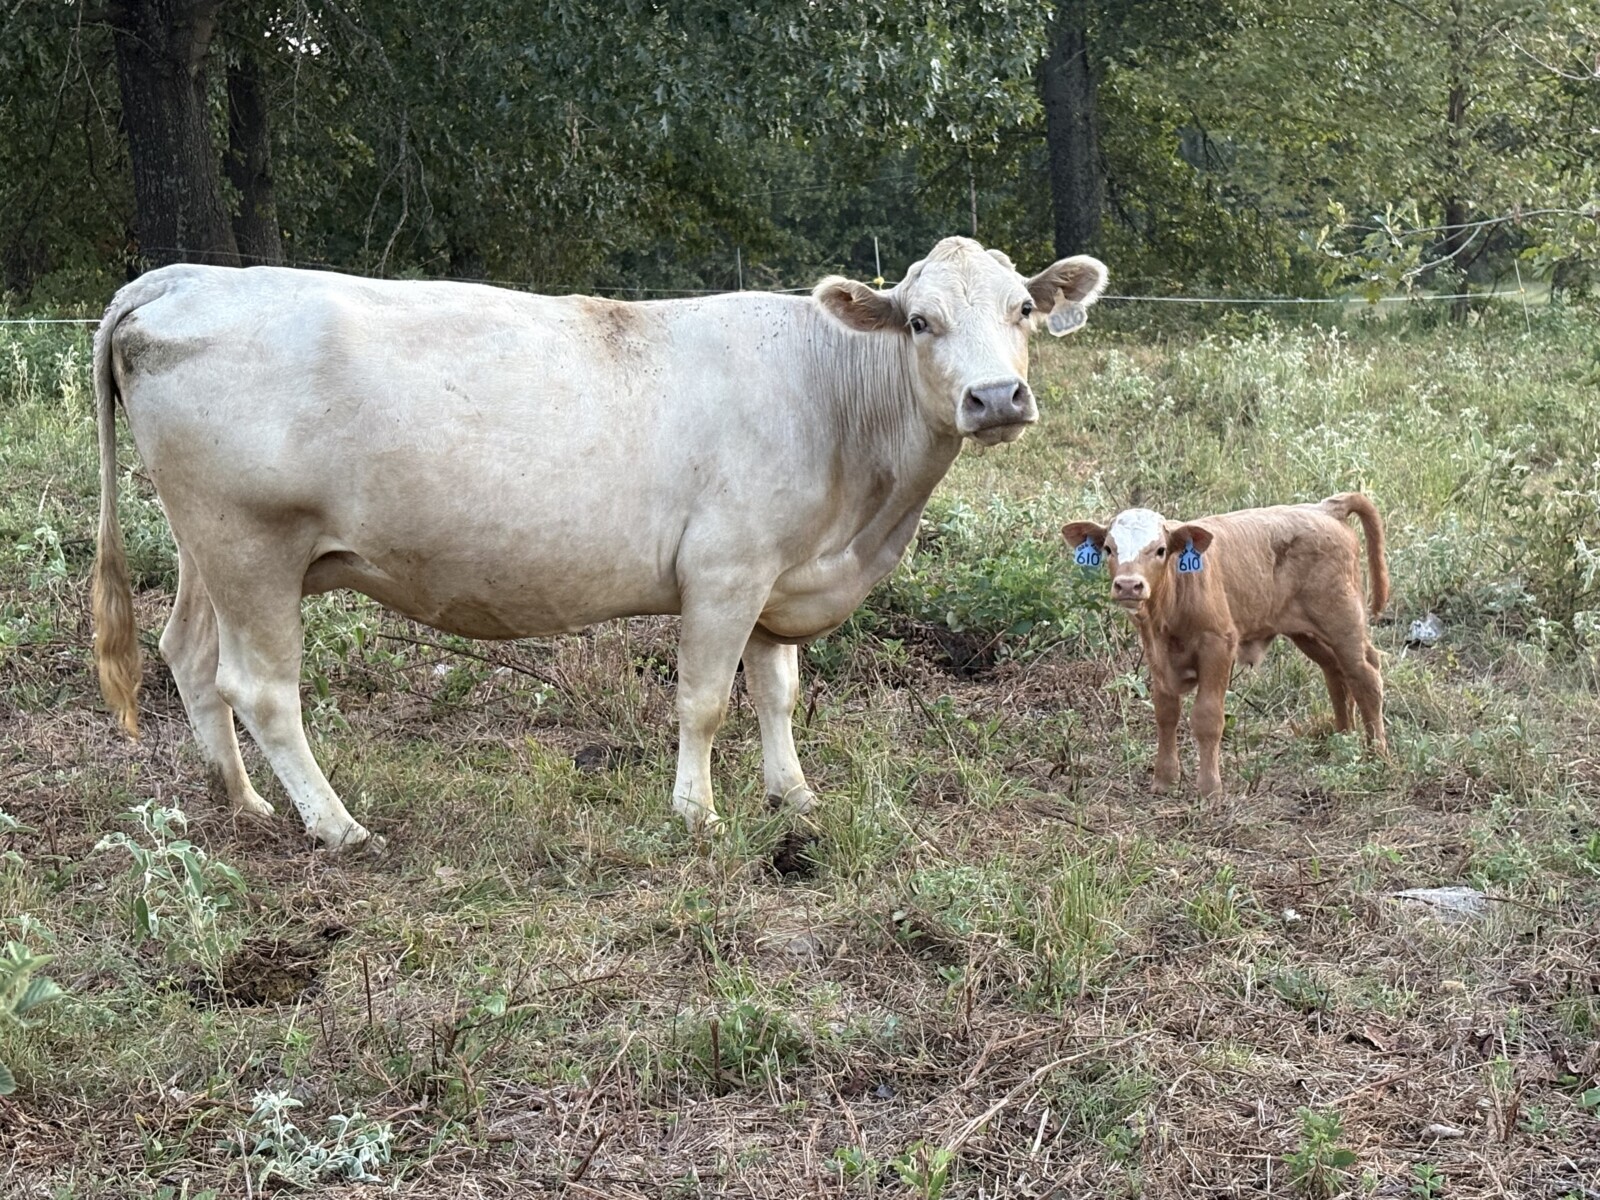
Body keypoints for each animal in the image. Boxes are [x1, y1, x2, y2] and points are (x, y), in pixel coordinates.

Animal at [92, 237, 1108, 851]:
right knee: (261, 688)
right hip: (253, 543)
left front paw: (794, 796)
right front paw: (696, 814)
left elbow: (777, 693)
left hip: (208, 548)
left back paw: (242, 801)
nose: (995, 397)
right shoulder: (725, 569)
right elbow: (705, 702)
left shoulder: (782, 575)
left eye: (1021, 310)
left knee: (189, 655)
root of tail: (186, 276)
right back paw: (338, 826)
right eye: (921, 321)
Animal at [1062, 494, 1388, 798]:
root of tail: (1325, 508)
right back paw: (1342, 740)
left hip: (1343, 622)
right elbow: (1166, 713)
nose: (1129, 585)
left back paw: (1376, 755)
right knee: (1335, 673)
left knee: (1365, 676)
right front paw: (1164, 780)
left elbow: (1207, 717)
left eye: (1160, 550)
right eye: (1108, 548)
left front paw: (1210, 789)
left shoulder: (1218, 644)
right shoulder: (1155, 650)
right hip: (1306, 632)